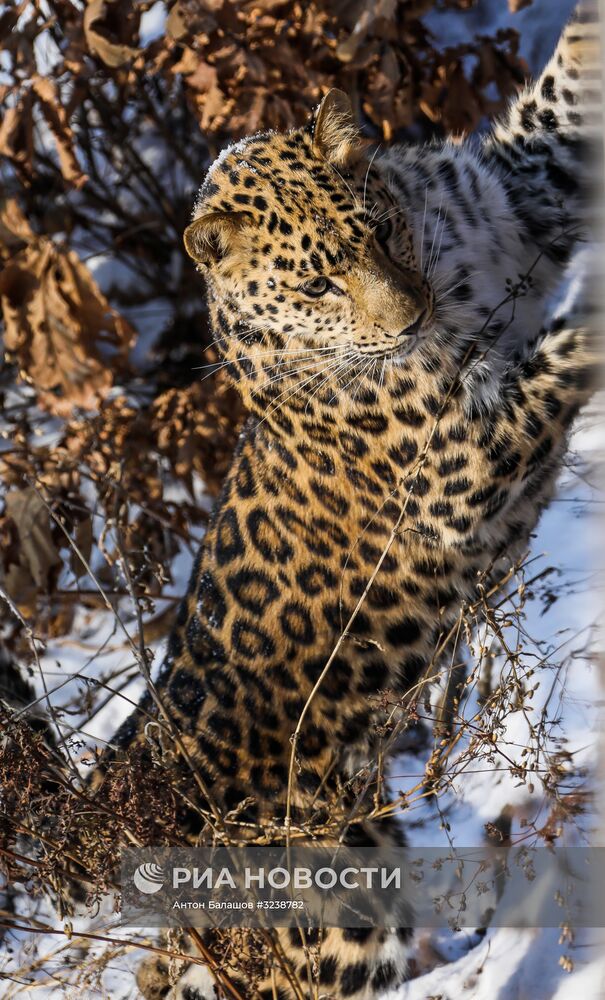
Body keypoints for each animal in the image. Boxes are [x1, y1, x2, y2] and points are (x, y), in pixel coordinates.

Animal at [85, 3, 600, 996]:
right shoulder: (455, 469)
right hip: (333, 906)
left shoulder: (525, 184)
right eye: (317, 284)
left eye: (381, 235)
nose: (411, 321)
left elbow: (570, 89)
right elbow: (560, 352)